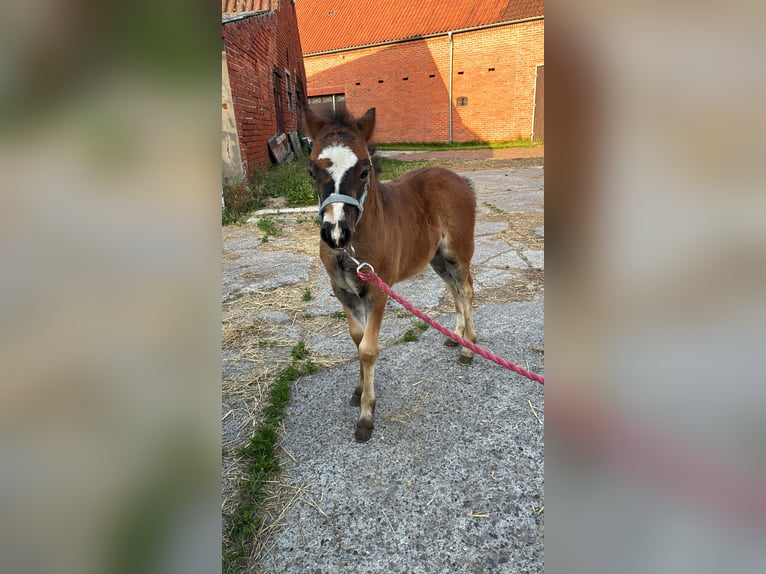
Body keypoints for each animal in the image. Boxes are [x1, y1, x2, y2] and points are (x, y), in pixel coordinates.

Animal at [304, 106, 477, 442]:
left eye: (363, 170)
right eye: (311, 171)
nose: (335, 233)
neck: (352, 247)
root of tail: (458, 178)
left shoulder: (377, 291)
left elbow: (369, 350)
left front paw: (366, 416)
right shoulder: (343, 292)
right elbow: (357, 340)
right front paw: (359, 391)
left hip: (458, 252)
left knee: (465, 290)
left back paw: (468, 349)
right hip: (437, 259)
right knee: (453, 290)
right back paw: (456, 338)